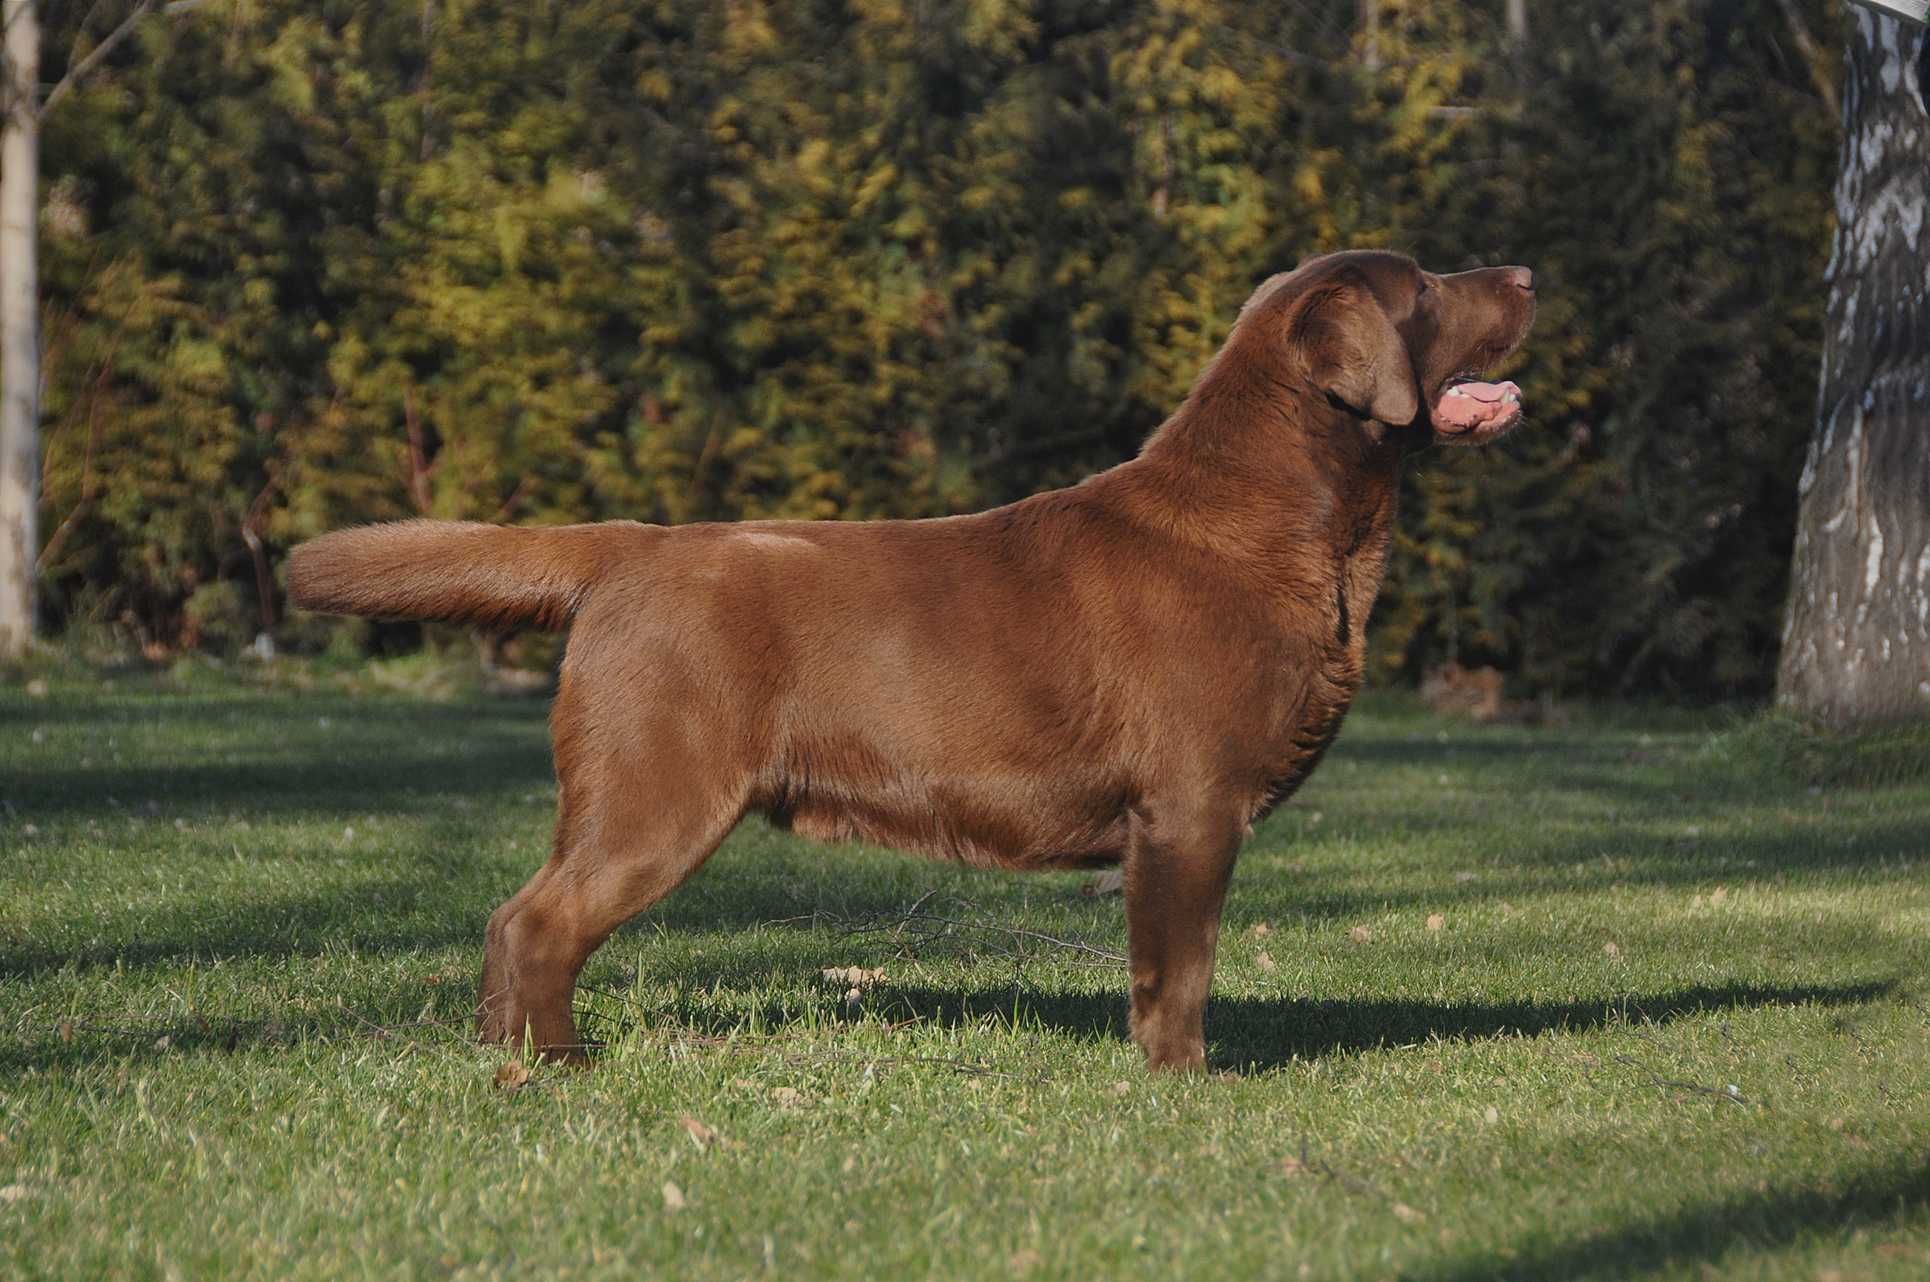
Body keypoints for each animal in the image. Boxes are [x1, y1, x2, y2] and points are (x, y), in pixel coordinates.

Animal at [285, 250, 1536, 1073]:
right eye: (1425, 288)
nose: (1526, 270)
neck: (1289, 523)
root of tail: (629, 545)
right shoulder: (1187, 807)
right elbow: (1177, 969)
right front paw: (1183, 1083)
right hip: (657, 791)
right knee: (540, 922)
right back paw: (561, 1064)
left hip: (615, 790)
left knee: (511, 914)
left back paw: (499, 1057)